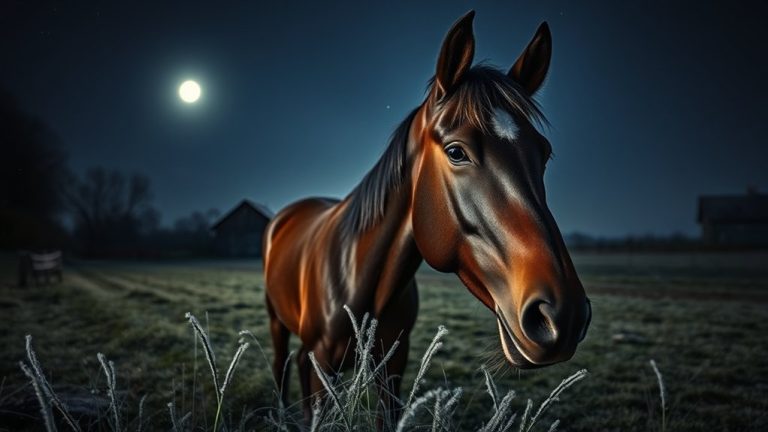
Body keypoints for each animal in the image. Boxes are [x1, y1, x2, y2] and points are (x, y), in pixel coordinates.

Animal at [263, 10, 591, 423]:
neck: (361, 279)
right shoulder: (325, 364)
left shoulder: (392, 366)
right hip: (277, 323)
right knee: (281, 365)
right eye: (456, 152)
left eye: (544, 154)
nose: (563, 316)